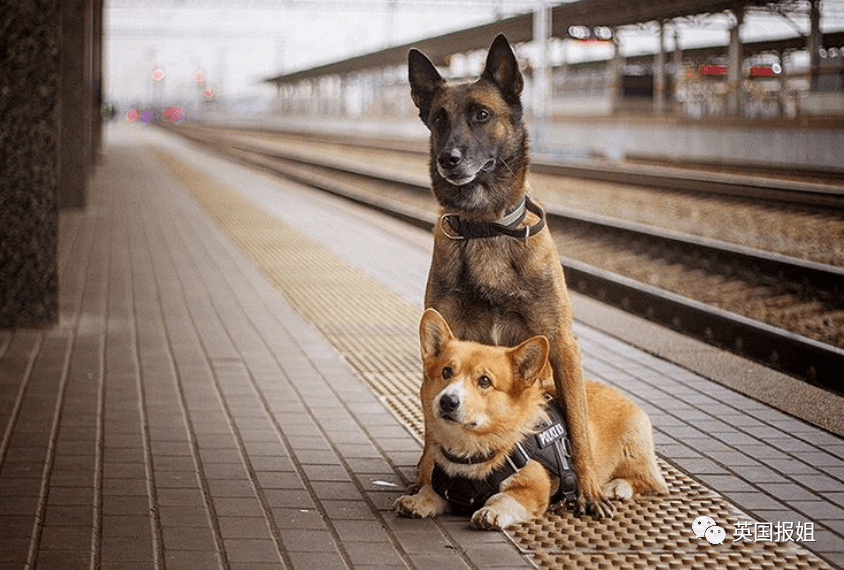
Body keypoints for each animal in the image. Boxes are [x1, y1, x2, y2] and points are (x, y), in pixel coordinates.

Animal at [408, 33, 612, 516]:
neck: (486, 226)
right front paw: (426, 483)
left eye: (482, 114)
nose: (449, 159)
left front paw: (588, 491)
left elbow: (577, 424)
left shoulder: (561, 343)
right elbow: (431, 429)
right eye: (439, 118)